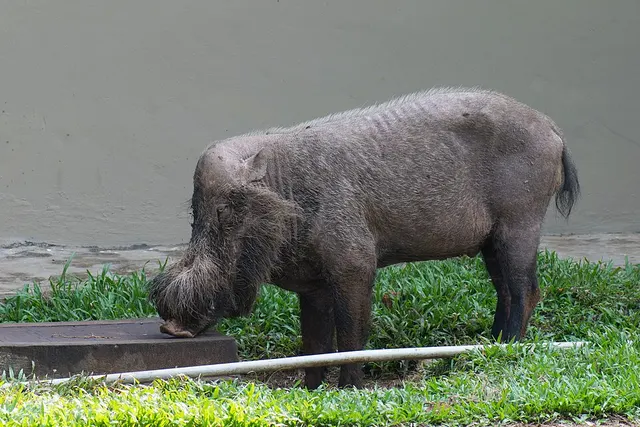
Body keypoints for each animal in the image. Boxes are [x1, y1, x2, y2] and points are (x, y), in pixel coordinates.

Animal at [148, 86, 580, 389]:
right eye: (195, 213)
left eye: (226, 213)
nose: (169, 328)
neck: (288, 193)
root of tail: (553, 129)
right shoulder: (313, 285)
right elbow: (314, 342)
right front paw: (310, 392)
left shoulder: (356, 264)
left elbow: (350, 333)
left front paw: (348, 390)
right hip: (491, 242)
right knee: (505, 291)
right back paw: (481, 349)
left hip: (520, 223)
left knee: (527, 290)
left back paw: (508, 349)